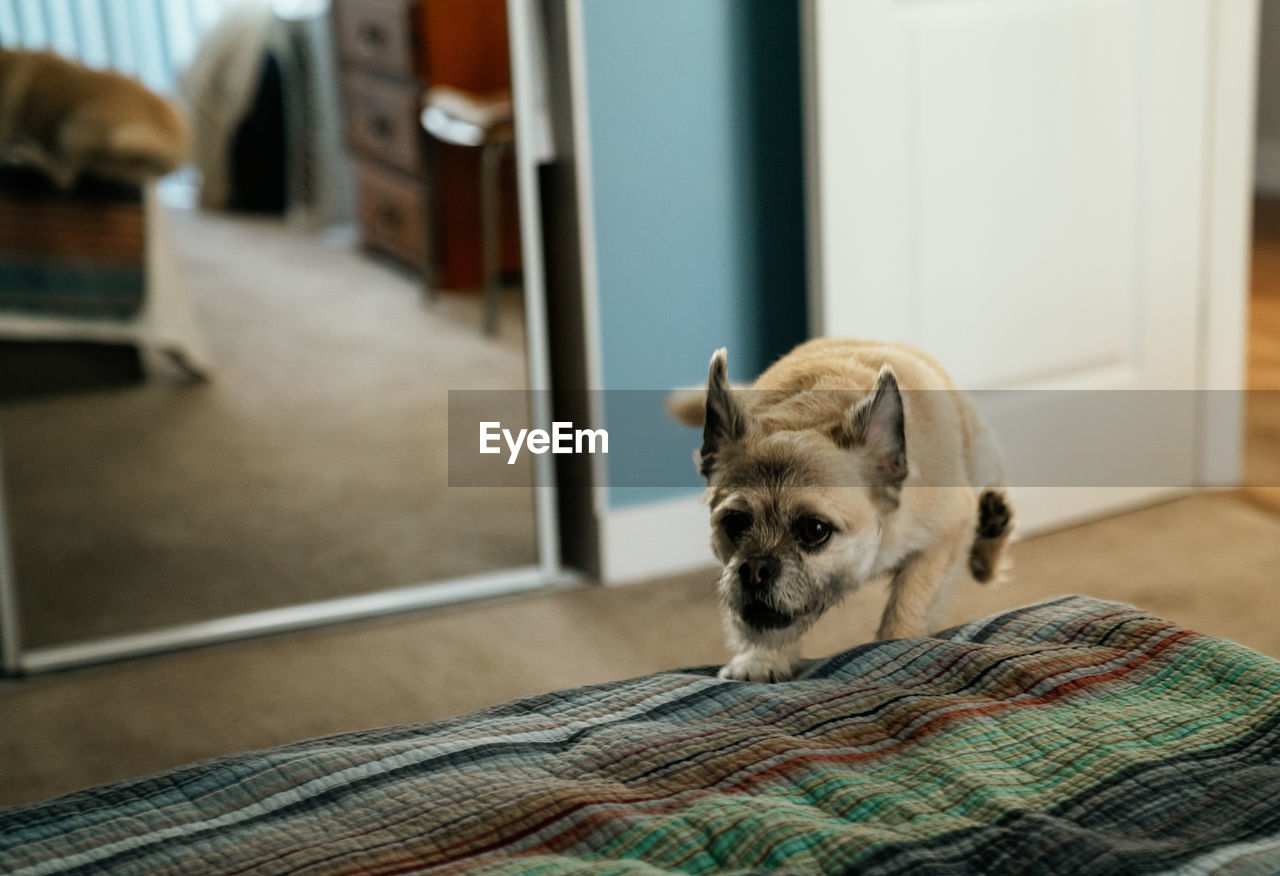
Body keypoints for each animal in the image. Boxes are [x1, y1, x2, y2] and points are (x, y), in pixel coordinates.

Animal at [670, 338, 1008, 681]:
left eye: (814, 530)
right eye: (734, 524)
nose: (754, 569)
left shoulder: (946, 534)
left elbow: (910, 599)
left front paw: (899, 641)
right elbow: (756, 625)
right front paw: (762, 658)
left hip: (982, 459)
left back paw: (993, 529)